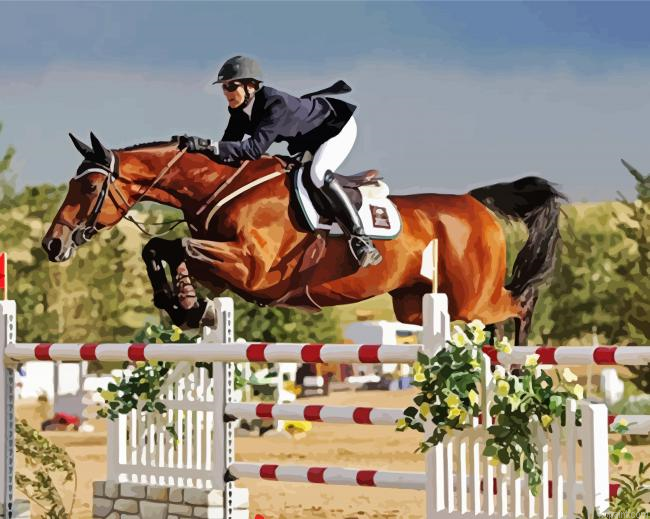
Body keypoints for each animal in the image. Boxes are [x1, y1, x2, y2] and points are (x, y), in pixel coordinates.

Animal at [43, 133, 565, 345]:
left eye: (87, 187)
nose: (53, 244)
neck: (219, 188)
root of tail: (474, 203)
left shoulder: (252, 271)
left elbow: (182, 249)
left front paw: (186, 304)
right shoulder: (226, 268)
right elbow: (160, 248)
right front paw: (185, 306)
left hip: (473, 295)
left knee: (518, 303)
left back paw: (518, 356)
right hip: (419, 306)